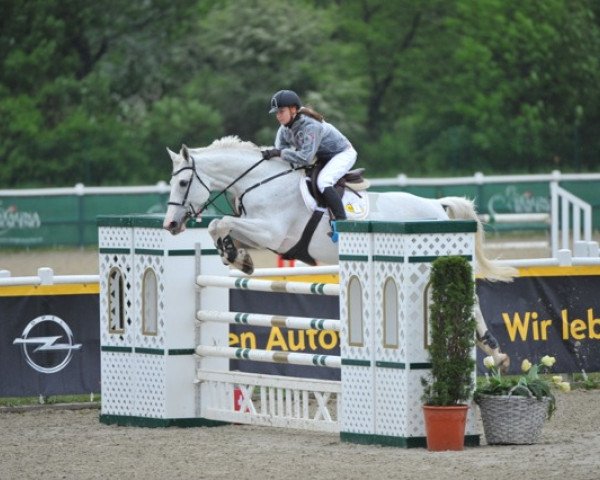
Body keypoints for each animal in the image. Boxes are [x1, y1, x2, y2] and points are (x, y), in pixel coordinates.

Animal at [164, 137, 516, 370]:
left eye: (182, 183)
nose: (170, 224)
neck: (258, 182)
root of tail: (436, 205)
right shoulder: (260, 233)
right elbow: (219, 226)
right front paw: (236, 257)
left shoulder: (271, 232)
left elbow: (221, 222)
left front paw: (236, 257)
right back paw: (490, 350)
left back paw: (494, 350)